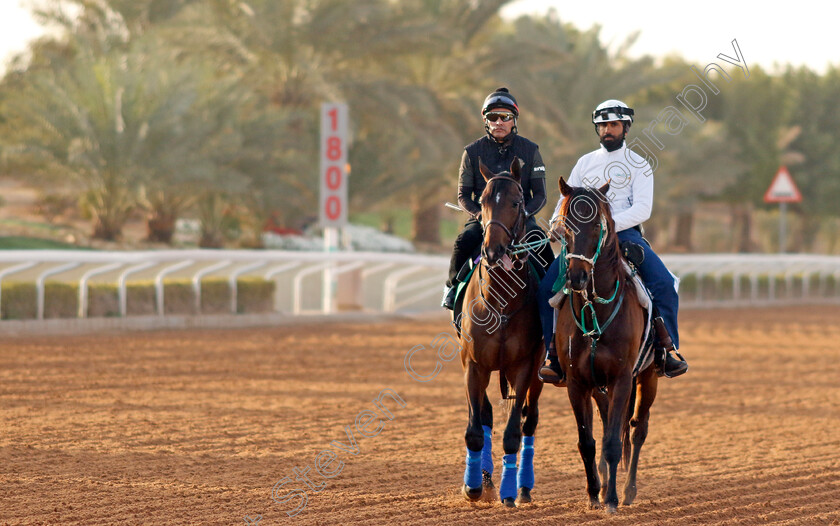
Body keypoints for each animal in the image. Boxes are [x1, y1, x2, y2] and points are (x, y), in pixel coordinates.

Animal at [556, 177, 660, 516]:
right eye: (565, 225)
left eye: (596, 226)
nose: (576, 277)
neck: (596, 311)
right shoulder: (577, 383)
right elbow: (587, 442)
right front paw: (594, 494)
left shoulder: (622, 379)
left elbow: (615, 442)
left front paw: (612, 499)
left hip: (648, 377)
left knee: (638, 429)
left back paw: (628, 490)